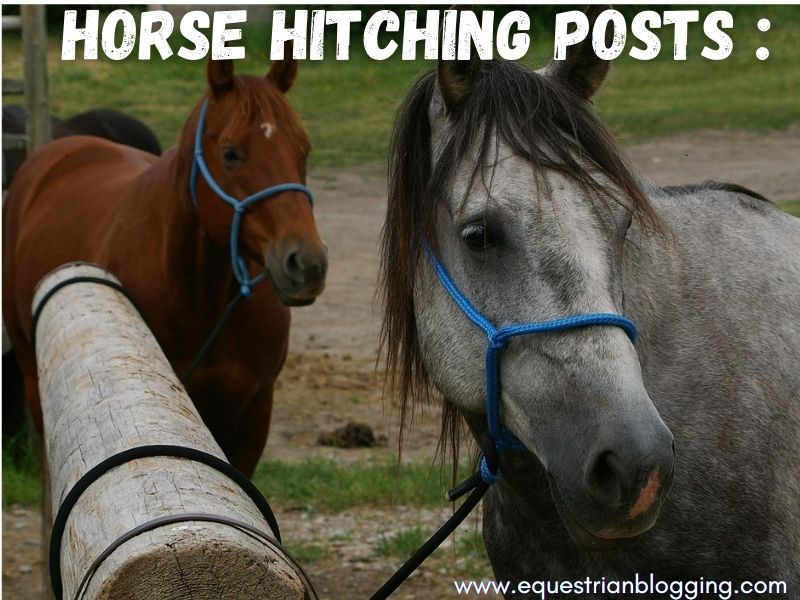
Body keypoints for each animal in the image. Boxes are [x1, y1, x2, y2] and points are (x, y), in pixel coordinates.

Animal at [3, 56, 327, 477]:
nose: (307, 263)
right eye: (231, 153)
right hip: (31, 374)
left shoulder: (253, 413)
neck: (202, 299)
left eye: (303, 150)